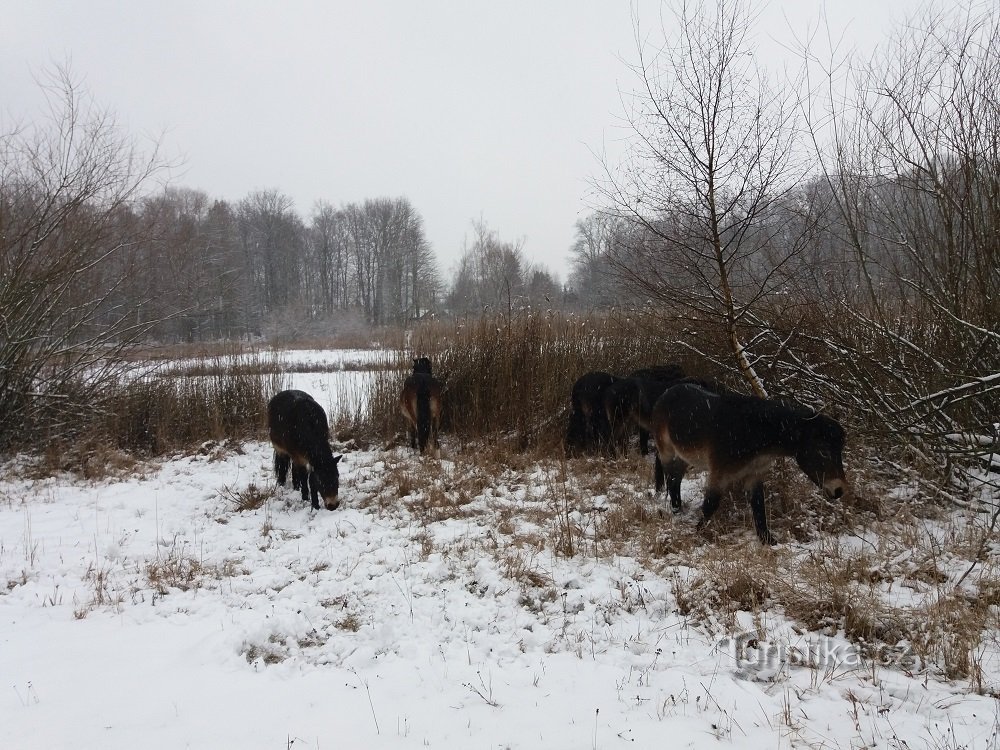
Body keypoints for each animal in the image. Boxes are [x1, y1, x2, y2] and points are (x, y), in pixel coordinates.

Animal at [648, 384, 844, 544]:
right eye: (823, 451)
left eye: (840, 452)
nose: (839, 490)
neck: (754, 431)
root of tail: (666, 393)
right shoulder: (719, 473)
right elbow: (711, 504)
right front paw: (697, 534)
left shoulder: (754, 474)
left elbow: (758, 506)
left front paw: (767, 540)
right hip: (668, 452)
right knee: (672, 480)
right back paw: (676, 511)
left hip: (683, 457)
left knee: (676, 480)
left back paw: (678, 509)